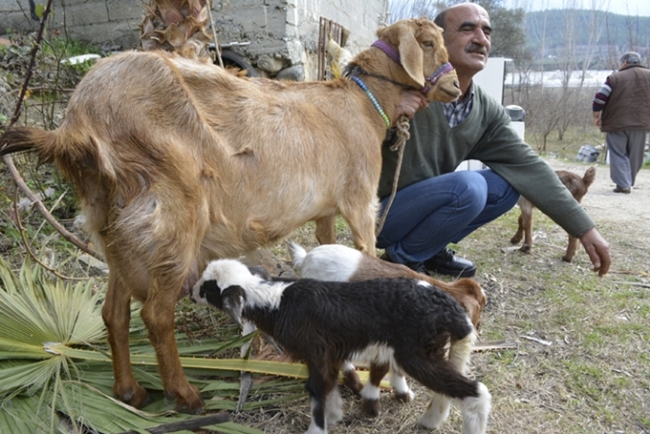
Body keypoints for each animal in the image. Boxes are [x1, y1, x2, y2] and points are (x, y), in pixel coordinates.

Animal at [0, 19, 458, 414]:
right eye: (428, 42)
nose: (455, 85)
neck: (361, 104)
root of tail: (76, 123)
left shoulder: (327, 210)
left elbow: (329, 248)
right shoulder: (360, 199)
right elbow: (366, 250)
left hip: (115, 226)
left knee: (114, 312)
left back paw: (130, 392)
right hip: (172, 217)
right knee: (155, 314)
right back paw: (185, 395)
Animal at [190, 260, 488, 432]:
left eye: (207, 288)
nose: (191, 294)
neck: (277, 302)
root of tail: (452, 310)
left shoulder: (317, 352)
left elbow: (317, 391)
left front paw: (319, 428)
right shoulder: (328, 354)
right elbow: (329, 387)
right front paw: (335, 415)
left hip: (416, 354)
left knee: (476, 392)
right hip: (430, 350)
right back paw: (430, 420)